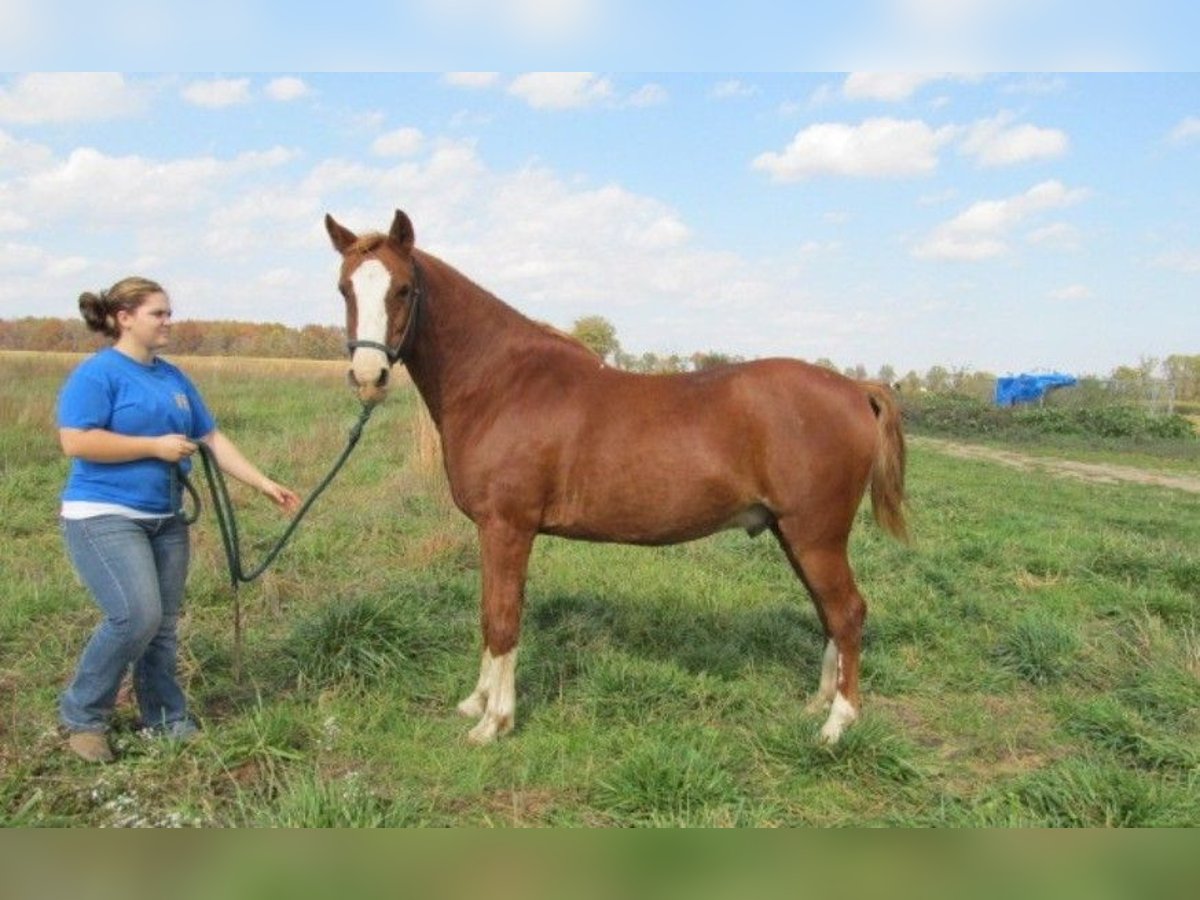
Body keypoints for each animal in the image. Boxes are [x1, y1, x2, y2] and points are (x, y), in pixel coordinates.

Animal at [324, 211, 902, 748]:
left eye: (403, 288)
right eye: (345, 288)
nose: (369, 377)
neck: (500, 382)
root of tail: (855, 389)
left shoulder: (506, 527)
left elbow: (503, 619)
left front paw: (494, 722)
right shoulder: (495, 532)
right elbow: (489, 615)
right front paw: (478, 701)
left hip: (815, 535)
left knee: (847, 612)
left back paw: (837, 724)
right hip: (794, 533)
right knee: (828, 613)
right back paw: (819, 702)